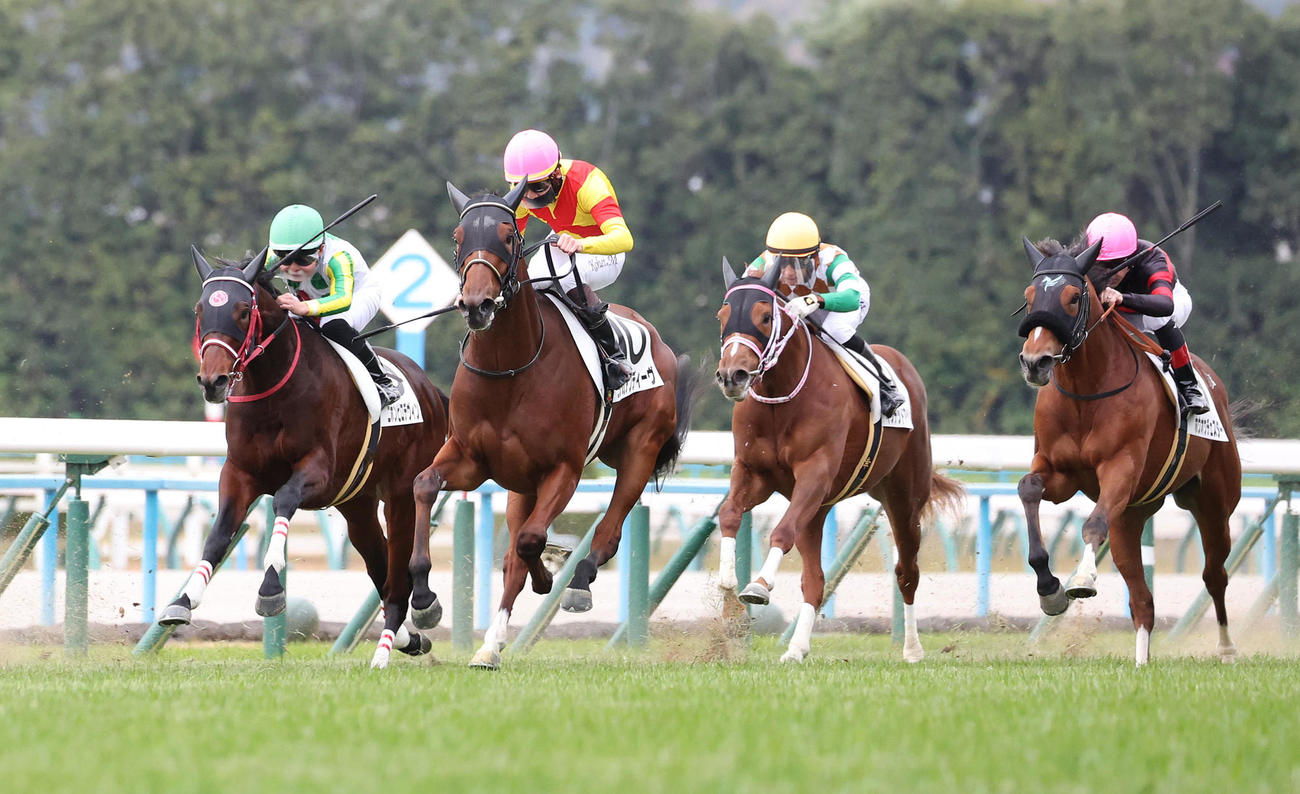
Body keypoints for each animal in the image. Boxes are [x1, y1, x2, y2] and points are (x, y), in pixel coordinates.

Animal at [164, 248, 449, 669]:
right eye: (201, 309)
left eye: (243, 311)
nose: (213, 381)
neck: (273, 389)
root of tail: (431, 389)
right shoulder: (239, 472)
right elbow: (218, 533)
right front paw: (183, 600)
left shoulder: (318, 470)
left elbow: (283, 500)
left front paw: (270, 589)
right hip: (357, 504)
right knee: (380, 566)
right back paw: (406, 638)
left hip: (400, 494)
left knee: (399, 570)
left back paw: (399, 634)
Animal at [407, 181, 700, 670]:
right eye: (457, 236)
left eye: (509, 237)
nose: (476, 305)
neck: (509, 369)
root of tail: (656, 339)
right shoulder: (470, 458)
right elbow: (425, 485)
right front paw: (425, 599)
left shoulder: (564, 468)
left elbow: (529, 540)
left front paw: (548, 575)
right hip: (521, 485)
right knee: (513, 553)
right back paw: (489, 647)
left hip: (639, 451)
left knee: (609, 530)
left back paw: (577, 582)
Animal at [714, 259, 965, 663]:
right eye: (722, 316)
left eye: (765, 316)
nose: (731, 376)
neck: (782, 397)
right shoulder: (754, 473)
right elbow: (730, 514)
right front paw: (726, 581)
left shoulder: (814, 474)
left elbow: (781, 532)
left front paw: (759, 585)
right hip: (817, 511)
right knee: (814, 581)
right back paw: (796, 649)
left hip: (904, 499)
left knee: (907, 571)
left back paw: (912, 649)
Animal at [1016, 235, 1241, 665]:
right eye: (1030, 295)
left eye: (1073, 297)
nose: (1035, 362)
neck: (1087, 390)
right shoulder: (1058, 471)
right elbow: (1029, 489)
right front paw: (1050, 590)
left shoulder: (1120, 468)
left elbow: (1091, 524)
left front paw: (1082, 578)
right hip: (1131, 517)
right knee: (1142, 599)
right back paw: (1141, 660)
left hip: (1213, 502)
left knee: (1214, 574)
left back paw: (1225, 646)